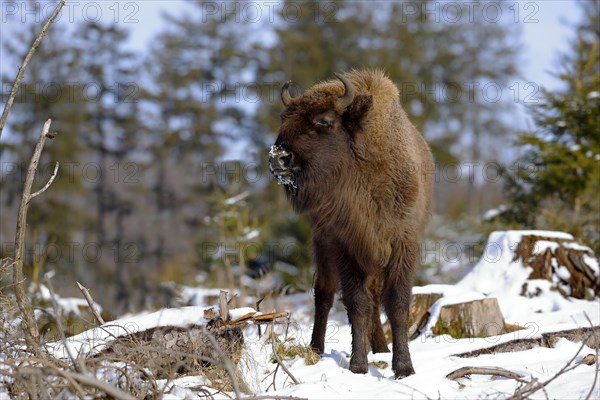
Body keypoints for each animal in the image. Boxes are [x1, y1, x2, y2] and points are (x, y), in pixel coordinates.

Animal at [270, 69, 434, 378]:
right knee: (324, 294)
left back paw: (380, 348)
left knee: (373, 297)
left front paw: (404, 367)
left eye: (324, 121)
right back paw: (317, 348)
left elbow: (397, 303)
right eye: (284, 119)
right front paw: (358, 365)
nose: (278, 158)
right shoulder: (345, 246)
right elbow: (356, 303)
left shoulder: (402, 243)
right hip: (323, 245)